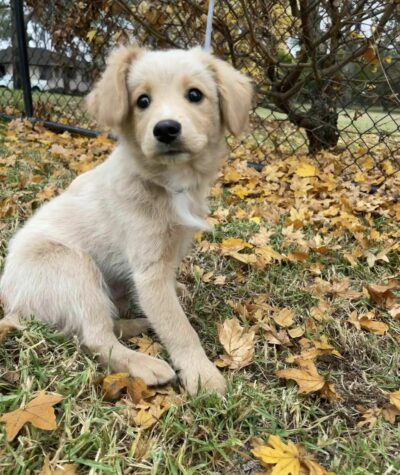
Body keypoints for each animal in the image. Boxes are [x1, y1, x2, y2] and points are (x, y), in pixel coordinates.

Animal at [0, 46, 253, 396]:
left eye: (195, 95)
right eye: (142, 101)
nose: (166, 129)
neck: (165, 182)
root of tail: (9, 298)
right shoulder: (149, 272)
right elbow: (178, 327)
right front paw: (203, 375)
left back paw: (136, 324)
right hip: (73, 267)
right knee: (95, 337)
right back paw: (145, 364)